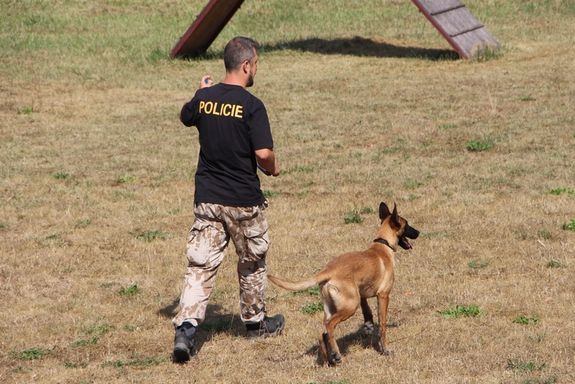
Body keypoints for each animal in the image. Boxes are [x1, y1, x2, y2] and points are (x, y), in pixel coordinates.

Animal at [268, 202, 420, 364]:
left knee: (323, 332)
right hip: (350, 306)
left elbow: (367, 311)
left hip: (332, 307)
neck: (382, 244)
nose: (418, 232)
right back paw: (336, 354)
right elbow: (383, 325)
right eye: (407, 224)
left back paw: (327, 360)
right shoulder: (383, 295)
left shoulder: (361, 293)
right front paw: (384, 349)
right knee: (329, 326)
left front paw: (368, 325)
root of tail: (328, 270)